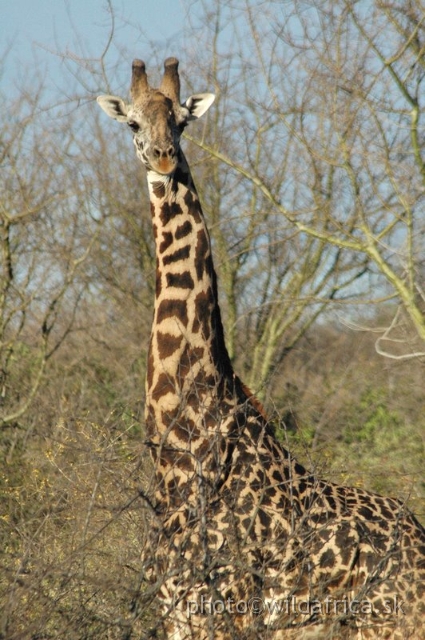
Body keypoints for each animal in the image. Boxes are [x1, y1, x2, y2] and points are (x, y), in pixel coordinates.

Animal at [96, 57, 424, 636]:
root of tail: (420, 539)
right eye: (132, 123)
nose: (163, 158)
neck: (181, 456)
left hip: (392, 623)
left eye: (182, 122)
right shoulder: (176, 611)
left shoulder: (226, 609)